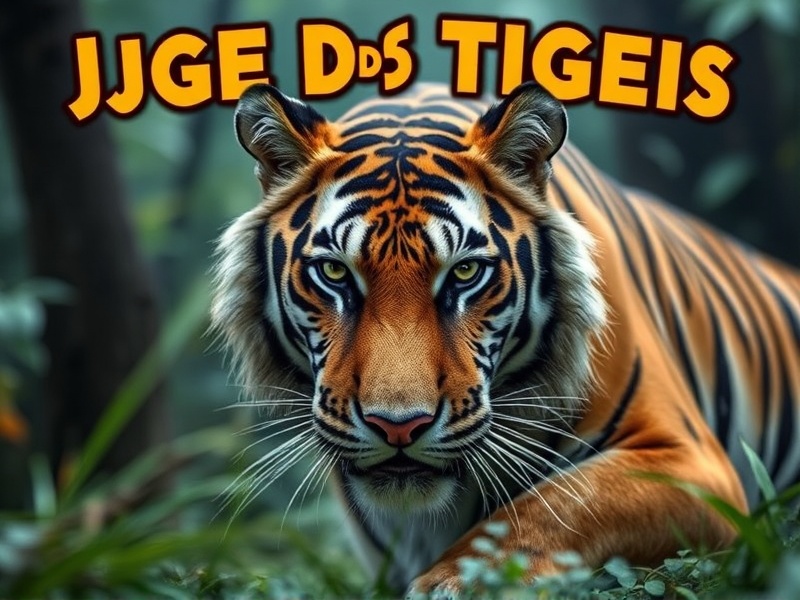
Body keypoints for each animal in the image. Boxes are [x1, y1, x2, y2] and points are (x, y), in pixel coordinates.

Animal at [210, 81, 800, 596]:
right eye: (334, 272)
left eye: (465, 272)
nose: (398, 427)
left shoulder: (691, 462)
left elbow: (562, 503)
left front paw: (460, 583)